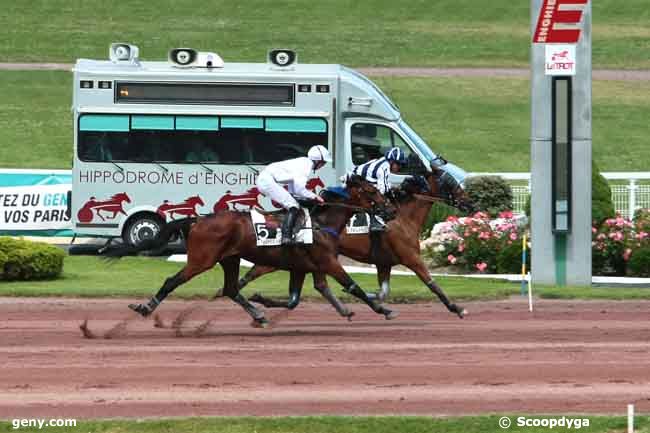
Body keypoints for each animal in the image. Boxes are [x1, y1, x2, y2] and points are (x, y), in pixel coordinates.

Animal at [102, 174, 394, 326]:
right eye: (371, 191)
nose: (390, 210)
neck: (322, 223)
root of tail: (197, 220)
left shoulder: (306, 266)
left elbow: (304, 296)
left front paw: (345, 310)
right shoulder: (328, 262)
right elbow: (352, 286)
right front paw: (383, 309)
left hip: (229, 259)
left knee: (231, 289)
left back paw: (258, 314)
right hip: (201, 260)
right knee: (171, 281)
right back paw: (145, 307)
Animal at [230, 164, 474, 318]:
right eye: (450, 182)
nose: (470, 203)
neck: (403, 217)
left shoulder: (384, 263)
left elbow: (383, 291)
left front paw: (367, 298)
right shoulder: (411, 257)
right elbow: (432, 284)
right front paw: (456, 308)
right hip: (281, 260)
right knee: (249, 277)